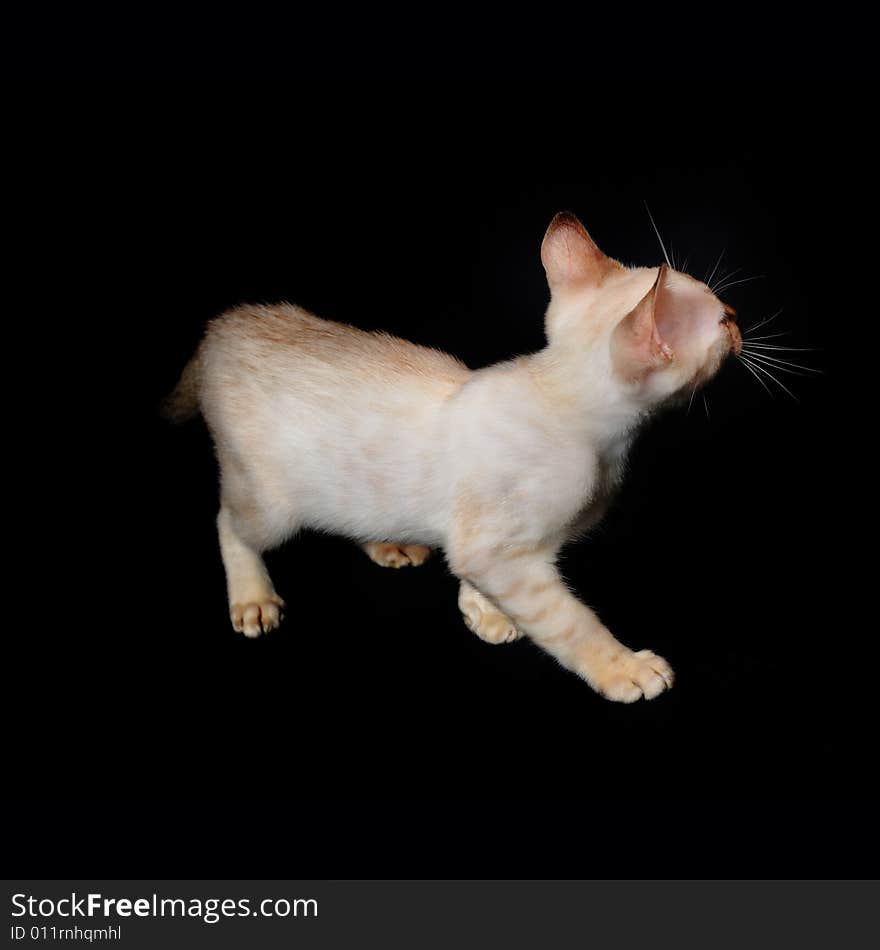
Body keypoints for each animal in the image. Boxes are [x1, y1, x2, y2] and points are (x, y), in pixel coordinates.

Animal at [167, 212, 744, 704]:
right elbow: (569, 620)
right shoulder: (499, 549)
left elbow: (468, 570)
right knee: (228, 522)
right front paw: (624, 669)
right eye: (721, 320)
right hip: (270, 505)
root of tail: (224, 325)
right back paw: (251, 598)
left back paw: (388, 544)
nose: (739, 320)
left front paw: (482, 612)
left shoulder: (500, 543)